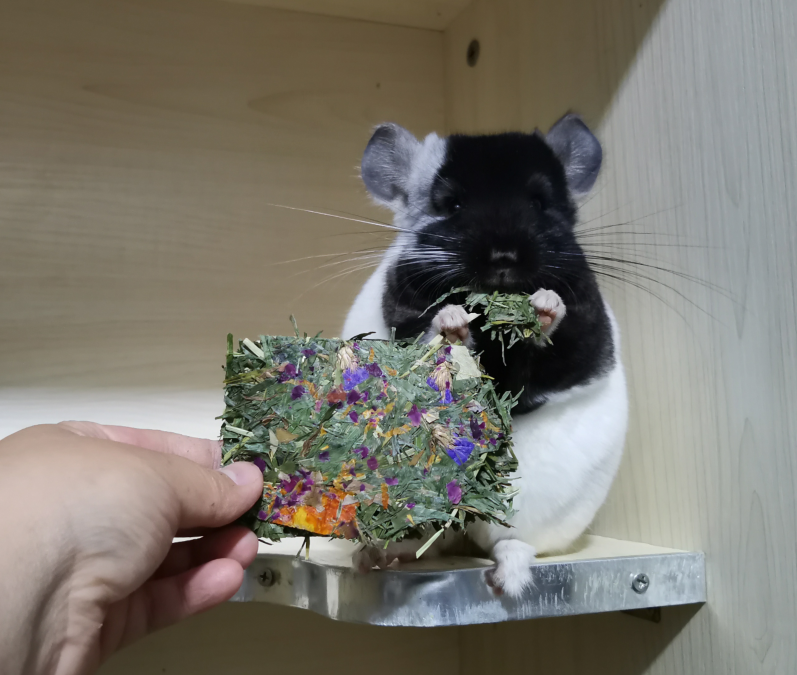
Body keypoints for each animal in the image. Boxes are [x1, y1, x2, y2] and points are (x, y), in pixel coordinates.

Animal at [341, 114, 628, 597]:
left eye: (540, 203)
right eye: (451, 205)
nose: (504, 256)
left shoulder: (584, 336)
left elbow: (538, 367)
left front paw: (545, 308)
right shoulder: (402, 314)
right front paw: (452, 320)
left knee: (508, 542)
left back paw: (507, 574)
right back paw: (373, 557)